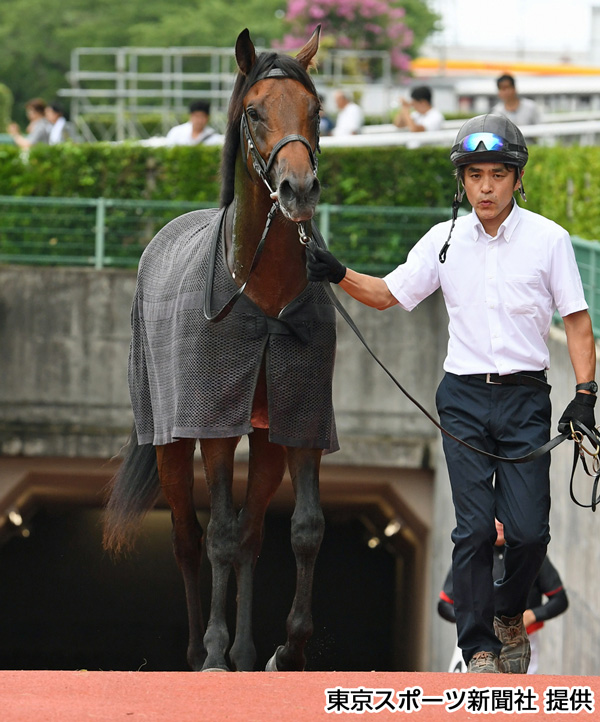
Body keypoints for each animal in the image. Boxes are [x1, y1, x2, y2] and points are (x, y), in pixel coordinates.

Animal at [103, 25, 338, 672]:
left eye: (316, 109)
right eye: (255, 111)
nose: (299, 189)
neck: (260, 290)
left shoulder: (299, 418)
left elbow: (303, 529)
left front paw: (289, 649)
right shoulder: (212, 424)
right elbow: (220, 535)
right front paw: (212, 653)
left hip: (263, 435)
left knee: (252, 535)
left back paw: (248, 650)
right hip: (170, 440)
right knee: (191, 536)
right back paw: (196, 650)